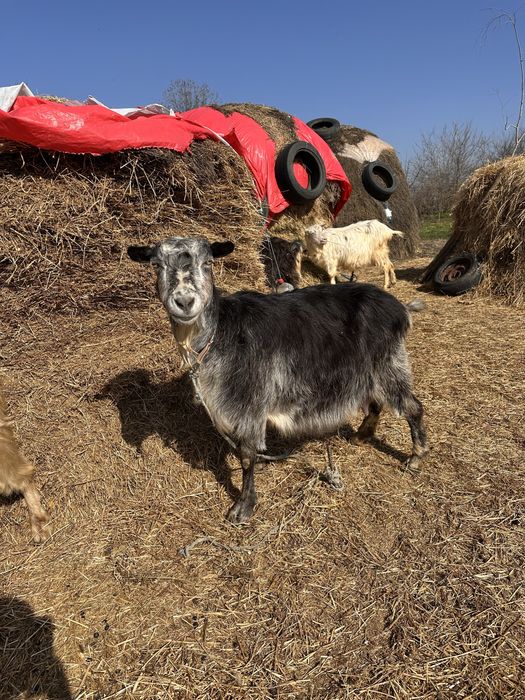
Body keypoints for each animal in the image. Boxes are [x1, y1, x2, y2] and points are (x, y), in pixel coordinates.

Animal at [128, 236, 428, 524]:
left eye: (208, 263)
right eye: (156, 265)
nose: (184, 302)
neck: (220, 331)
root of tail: (399, 308)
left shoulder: (249, 400)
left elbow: (246, 455)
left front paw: (243, 507)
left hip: (388, 362)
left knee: (412, 407)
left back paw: (415, 458)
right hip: (371, 368)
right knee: (376, 400)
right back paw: (362, 436)